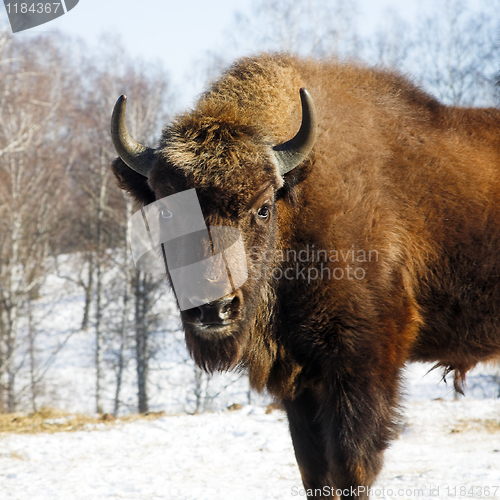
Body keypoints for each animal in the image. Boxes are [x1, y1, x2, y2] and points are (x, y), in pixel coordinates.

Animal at [109, 52, 500, 498]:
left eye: (262, 208)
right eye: (168, 212)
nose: (213, 309)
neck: (297, 203)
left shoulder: (361, 366)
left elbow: (350, 466)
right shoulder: (299, 381)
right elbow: (313, 470)